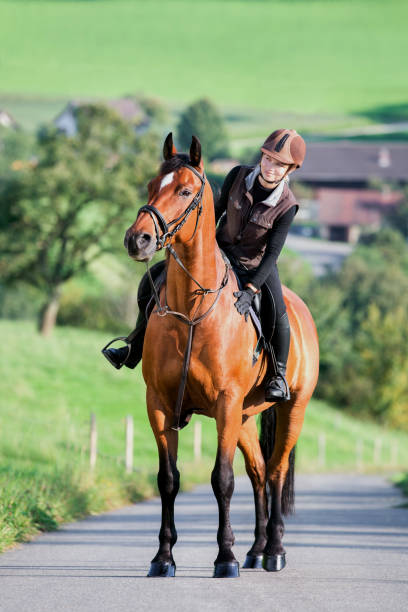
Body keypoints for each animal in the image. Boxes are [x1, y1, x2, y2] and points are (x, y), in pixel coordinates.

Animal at [124, 134, 318, 580]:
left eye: (185, 191)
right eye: (150, 185)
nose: (137, 240)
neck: (192, 311)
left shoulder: (226, 404)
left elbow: (222, 479)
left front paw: (224, 557)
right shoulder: (159, 404)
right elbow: (168, 479)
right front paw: (163, 558)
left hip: (290, 408)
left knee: (276, 471)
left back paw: (274, 551)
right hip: (245, 417)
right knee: (259, 472)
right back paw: (256, 550)